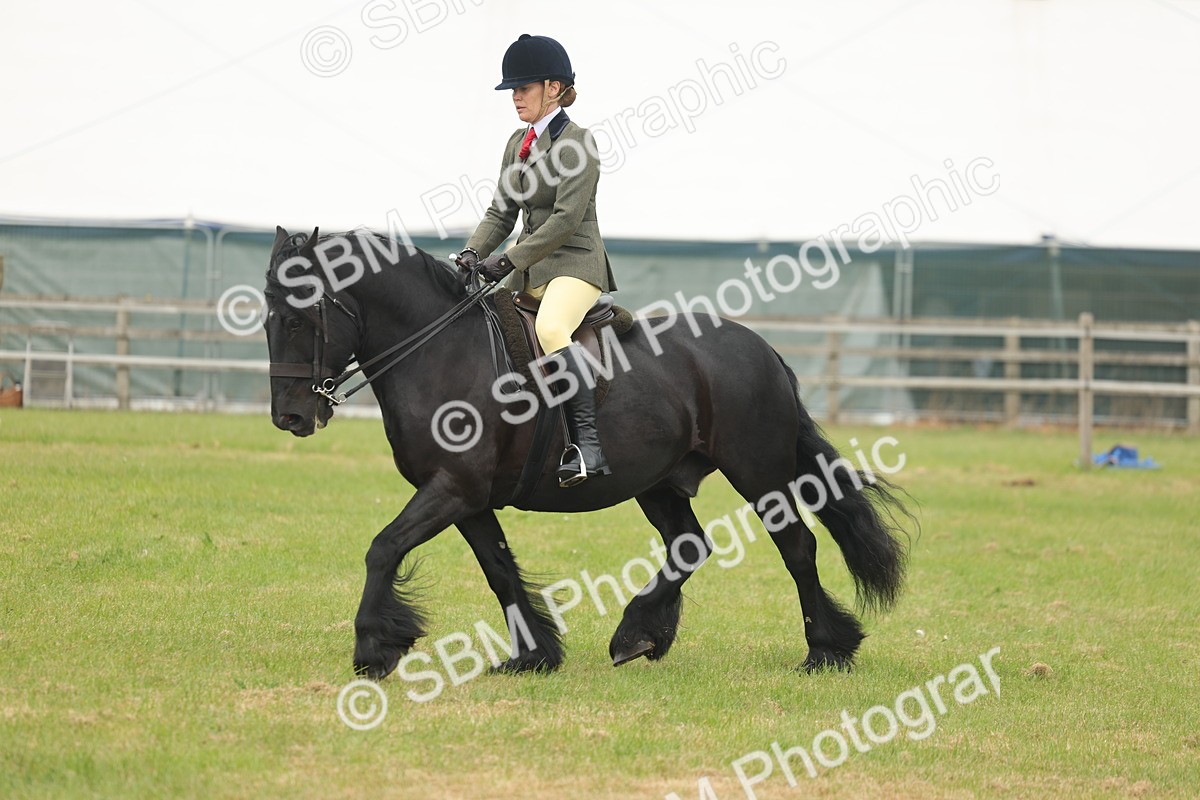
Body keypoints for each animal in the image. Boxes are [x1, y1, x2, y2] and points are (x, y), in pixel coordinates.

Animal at [262, 226, 910, 680]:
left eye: (297, 319)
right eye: (268, 317)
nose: (290, 417)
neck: (440, 351)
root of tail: (761, 348)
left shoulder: (452, 489)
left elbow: (383, 548)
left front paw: (374, 648)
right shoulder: (466, 497)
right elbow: (499, 569)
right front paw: (532, 656)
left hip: (758, 473)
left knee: (797, 547)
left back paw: (824, 651)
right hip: (660, 482)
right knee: (689, 546)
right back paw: (639, 635)